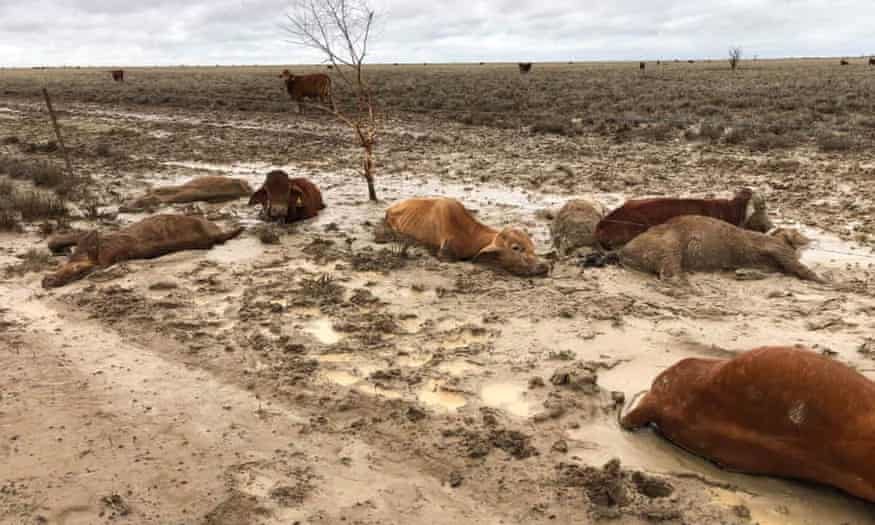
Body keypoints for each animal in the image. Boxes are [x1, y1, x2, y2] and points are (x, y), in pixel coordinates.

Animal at [374, 197, 549, 276]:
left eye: (532, 246)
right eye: (516, 248)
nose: (544, 266)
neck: (469, 234)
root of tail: (390, 209)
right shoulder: (444, 253)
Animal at [614, 216, 821, 282]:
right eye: (797, 232)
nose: (812, 240)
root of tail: (623, 252)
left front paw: (744, 273)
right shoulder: (778, 249)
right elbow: (800, 268)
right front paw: (825, 281)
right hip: (668, 245)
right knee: (670, 273)